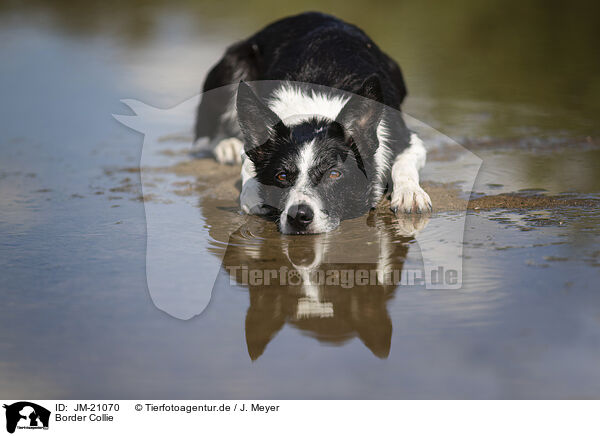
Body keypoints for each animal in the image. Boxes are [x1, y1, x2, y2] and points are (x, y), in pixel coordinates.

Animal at [195, 11, 428, 233]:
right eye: (281, 176)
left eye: (334, 174)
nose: (299, 215)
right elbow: (250, 184)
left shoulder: (408, 139)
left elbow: (404, 164)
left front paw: (410, 193)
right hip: (234, 65)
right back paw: (227, 146)